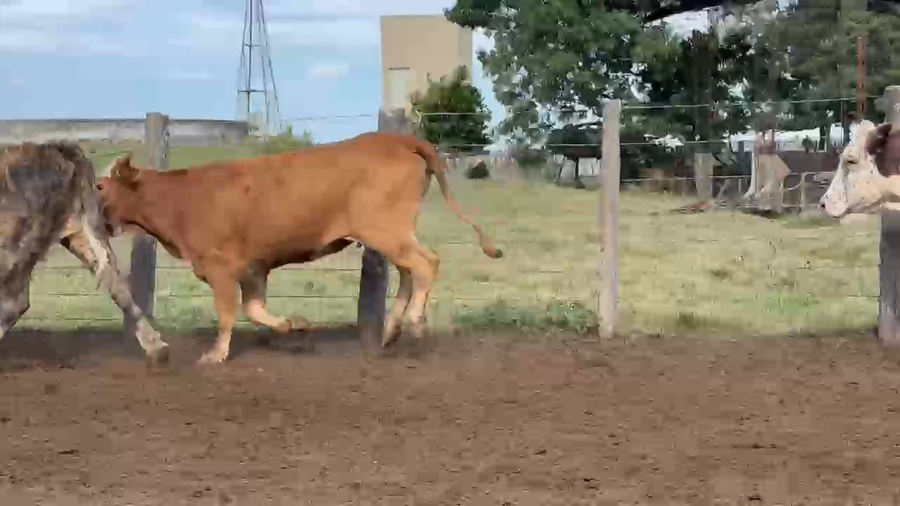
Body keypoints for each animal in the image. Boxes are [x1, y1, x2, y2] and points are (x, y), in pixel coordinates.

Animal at [0, 142, 169, 365]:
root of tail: (57, 150)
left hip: (17, 246)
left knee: (14, 301)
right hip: (81, 233)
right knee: (118, 284)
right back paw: (156, 347)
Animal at [96, 131, 504, 364]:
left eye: (99, 186)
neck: (180, 199)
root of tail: (396, 138)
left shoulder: (220, 268)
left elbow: (228, 314)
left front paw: (215, 354)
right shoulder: (255, 268)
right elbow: (255, 309)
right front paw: (295, 325)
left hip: (384, 230)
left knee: (426, 264)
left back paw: (415, 322)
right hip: (395, 233)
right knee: (410, 271)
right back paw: (390, 330)